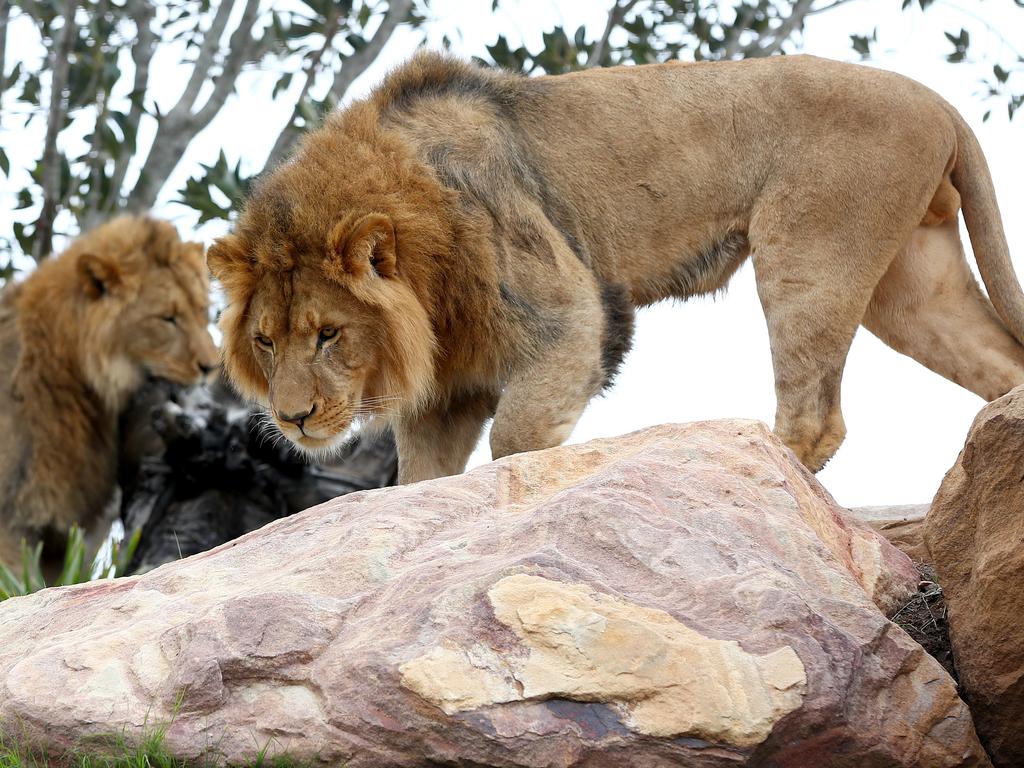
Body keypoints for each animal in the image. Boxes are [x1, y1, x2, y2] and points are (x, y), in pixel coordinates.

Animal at [207, 54, 1024, 483]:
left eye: (329, 335)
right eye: (266, 342)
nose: (293, 417)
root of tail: (938, 101)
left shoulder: (570, 313)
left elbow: (517, 437)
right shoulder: (450, 384)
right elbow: (422, 478)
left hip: (807, 254)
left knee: (815, 417)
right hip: (913, 289)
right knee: (999, 363)